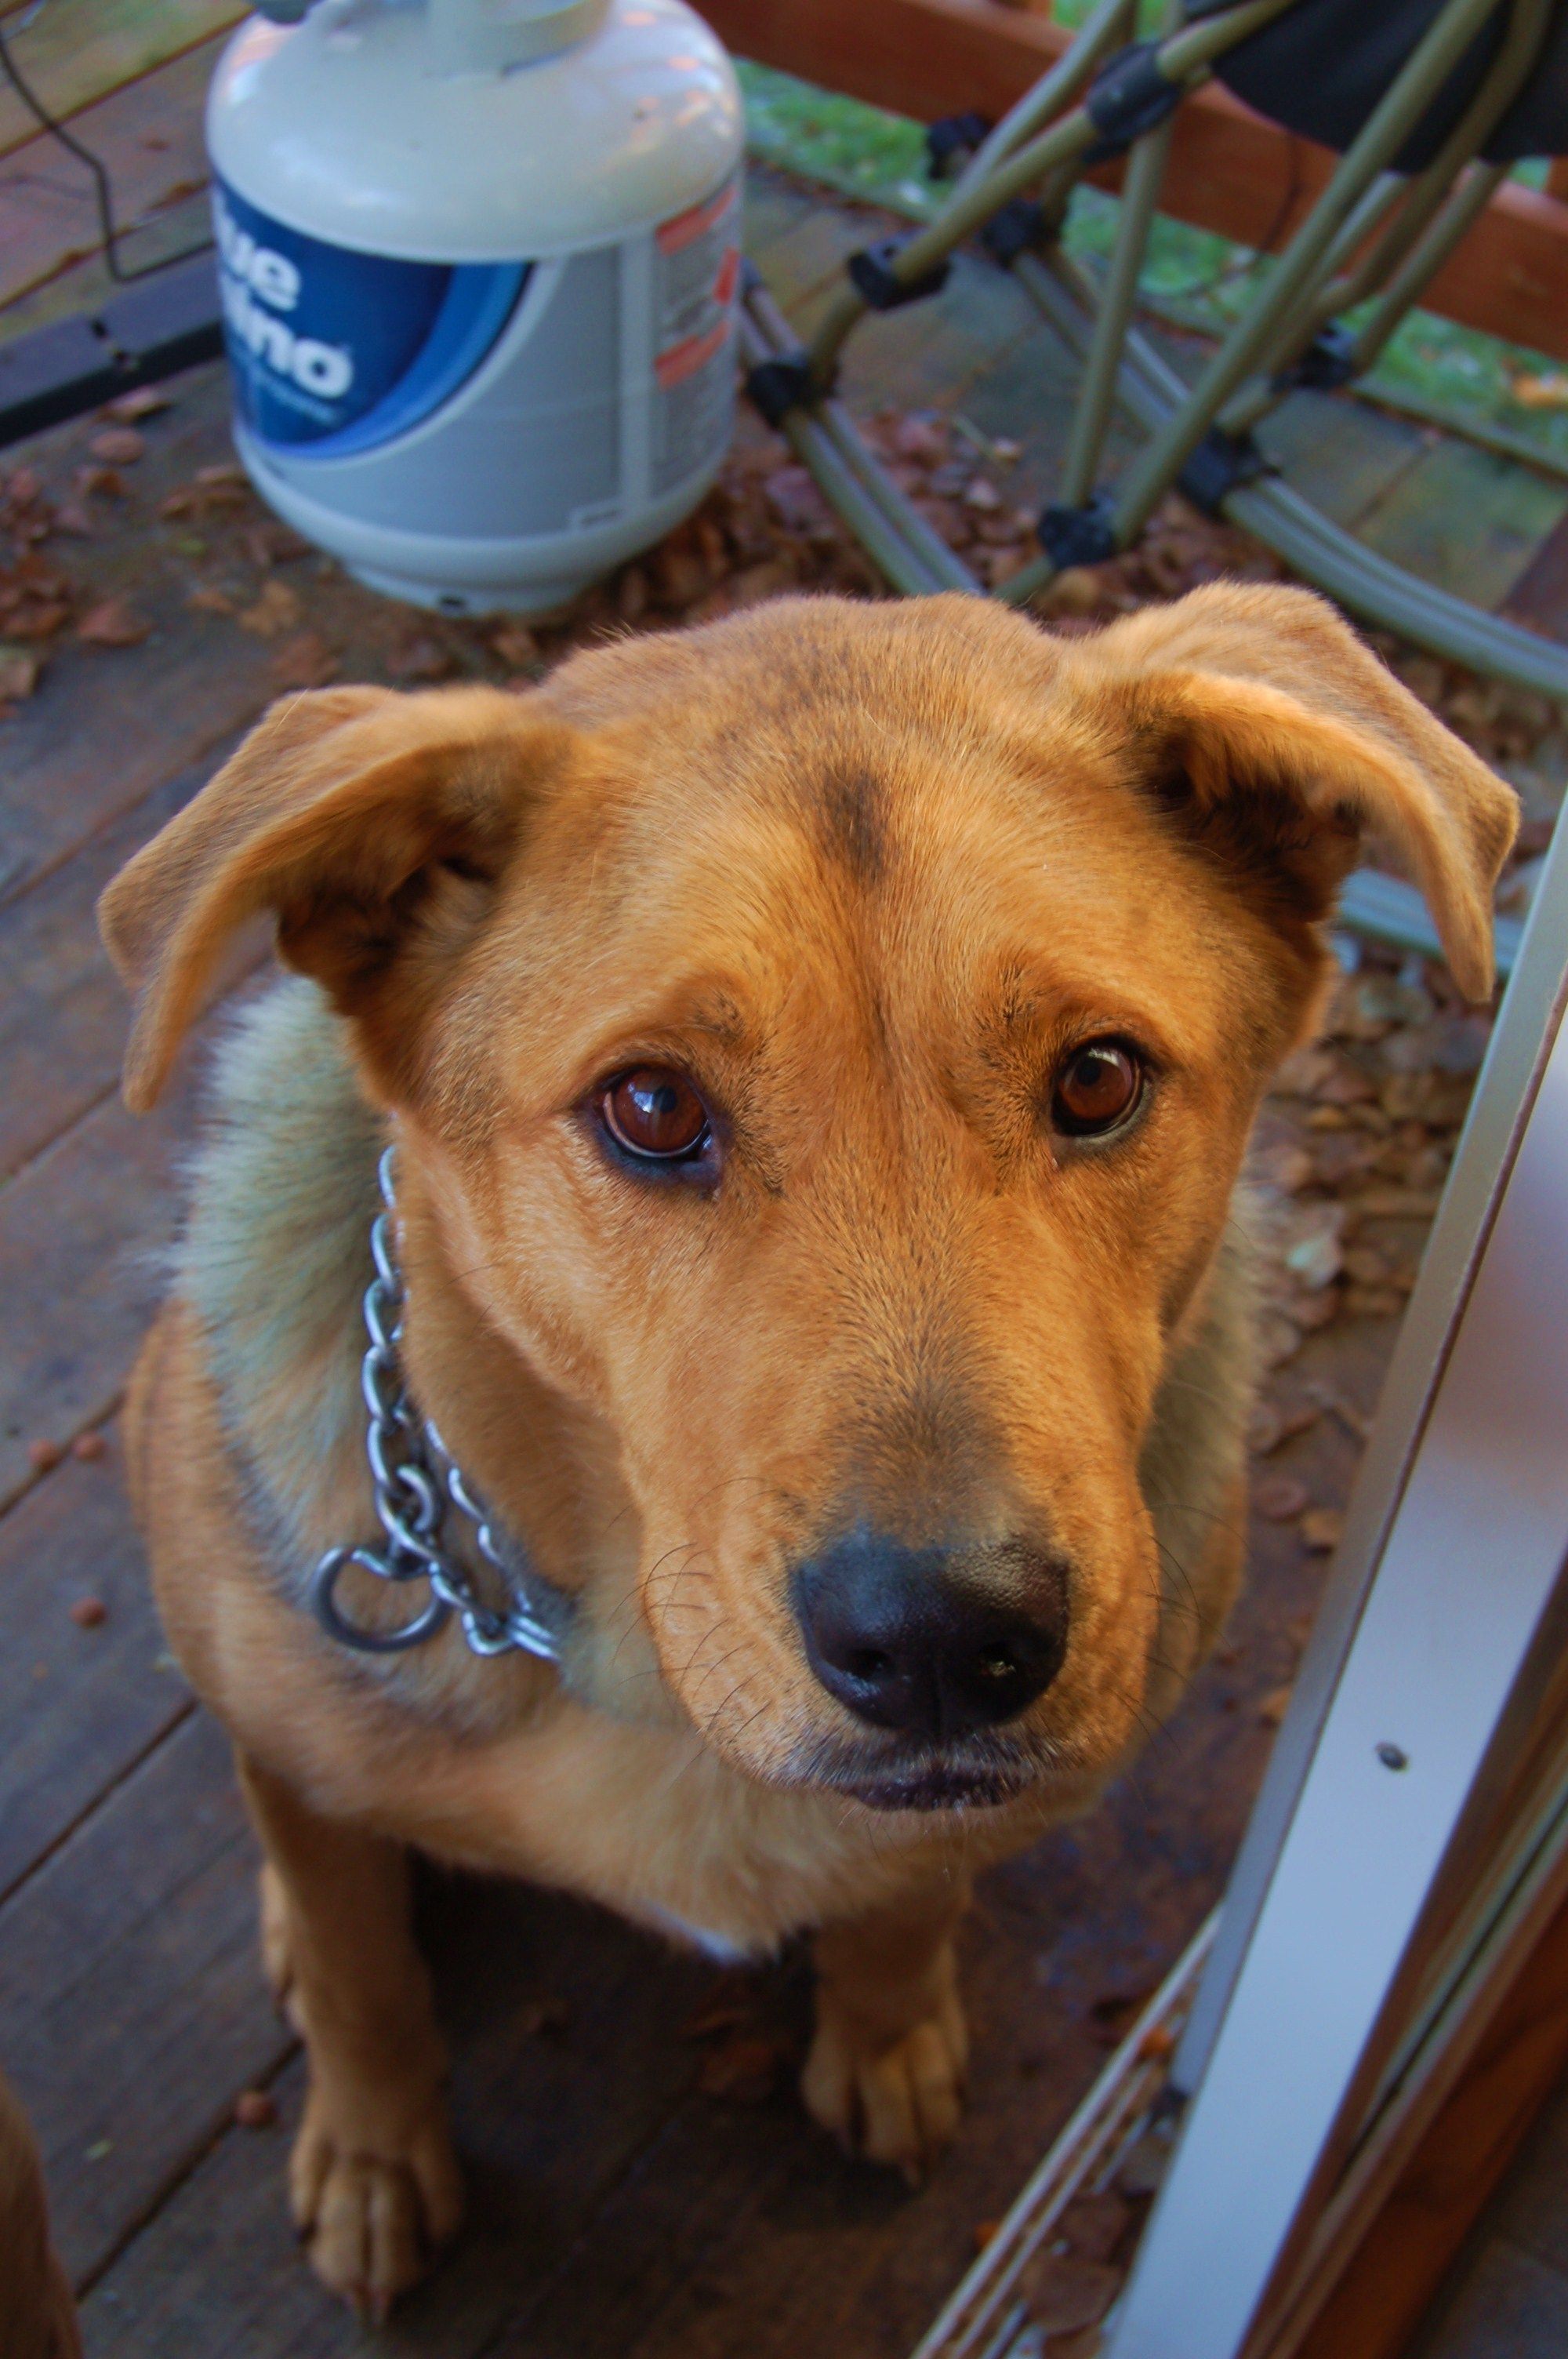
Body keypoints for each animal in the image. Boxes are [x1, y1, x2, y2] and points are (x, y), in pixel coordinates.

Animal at [100, 580, 1518, 2311]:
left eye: (1099, 1077)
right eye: (649, 1107)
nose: (944, 1645)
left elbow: (908, 1896)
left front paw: (888, 2028)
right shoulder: (308, 1768)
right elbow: (367, 1981)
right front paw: (375, 2152)